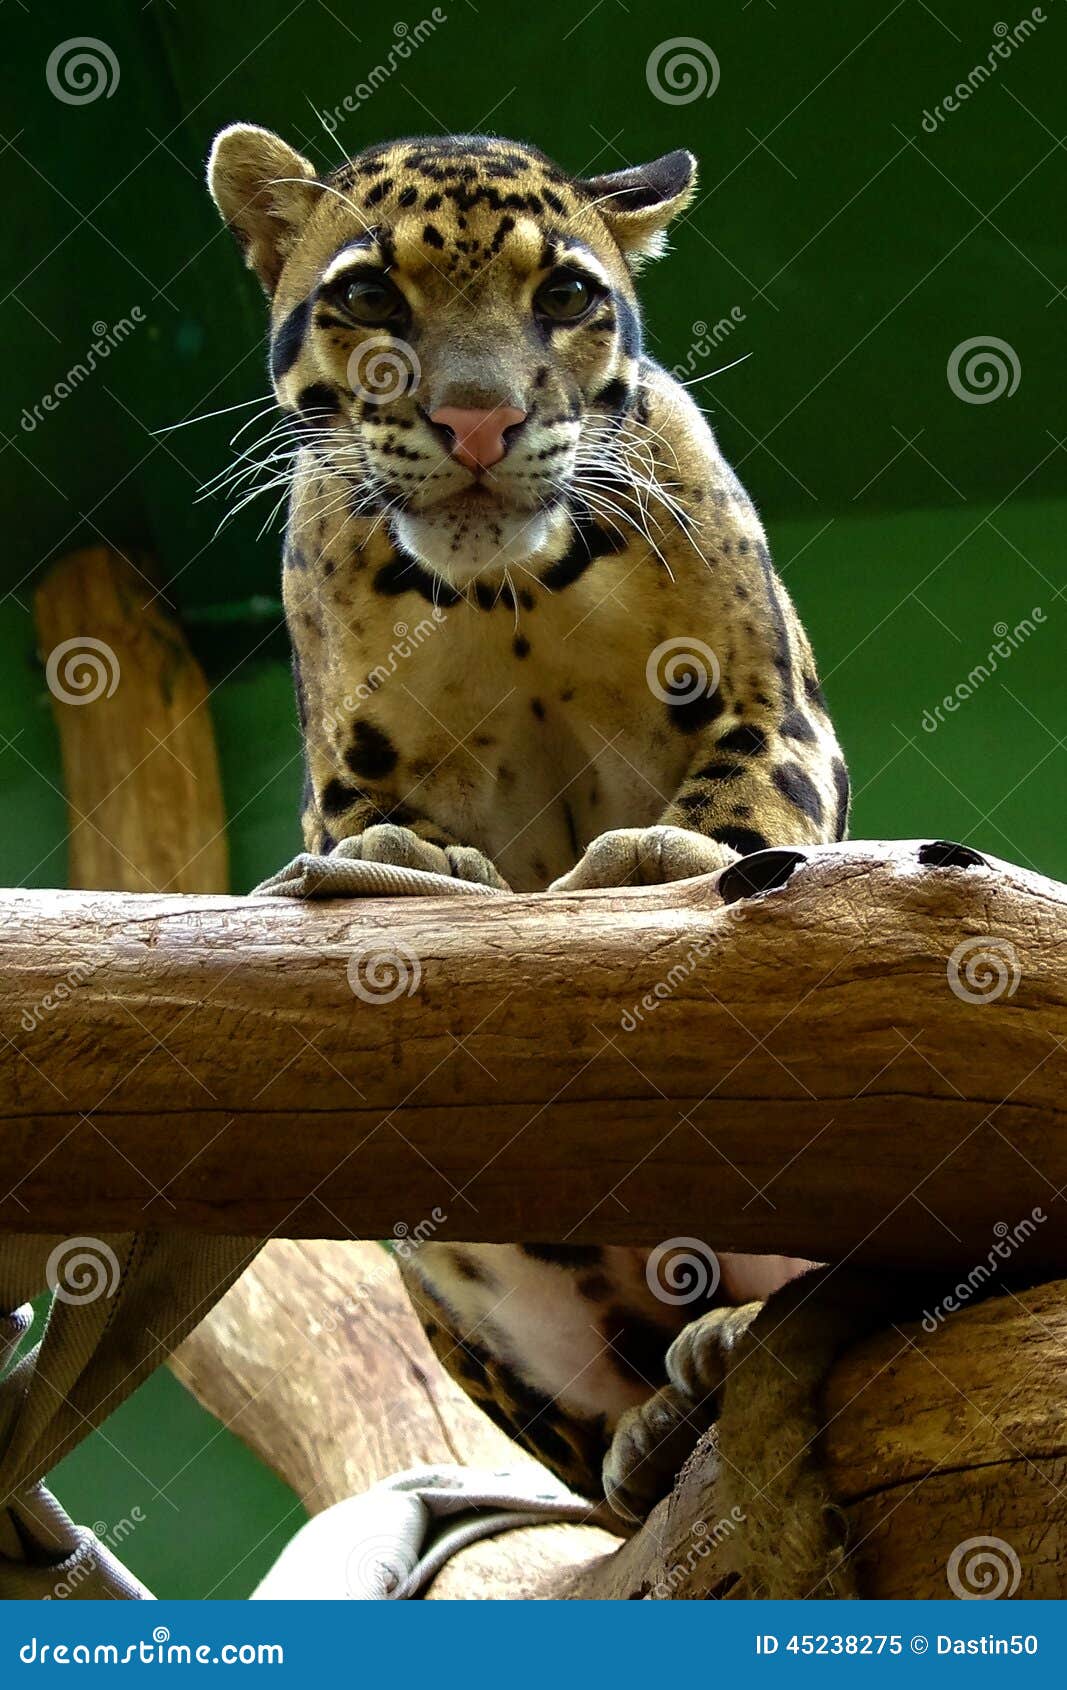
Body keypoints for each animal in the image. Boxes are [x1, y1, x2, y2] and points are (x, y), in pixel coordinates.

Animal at [208, 122, 850, 1525]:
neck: (513, 587)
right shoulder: (346, 757)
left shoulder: (774, 699)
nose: (477, 417)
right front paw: (395, 863)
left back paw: (727, 1340)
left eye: (562, 294)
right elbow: (361, 824)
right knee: (603, 1469)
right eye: (365, 295)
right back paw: (659, 1416)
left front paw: (669, 853)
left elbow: (748, 794)